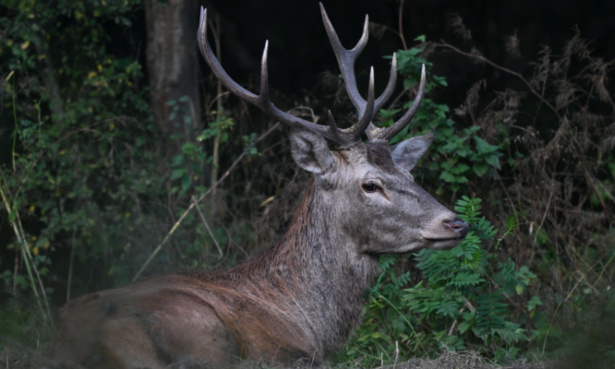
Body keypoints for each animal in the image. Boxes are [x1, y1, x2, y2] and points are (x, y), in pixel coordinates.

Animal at [48, 3, 470, 368]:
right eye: (370, 185)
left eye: (410, 175)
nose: (456, 222)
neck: (306, 320)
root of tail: (57, 344)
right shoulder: (284, 353)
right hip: (197, 332)